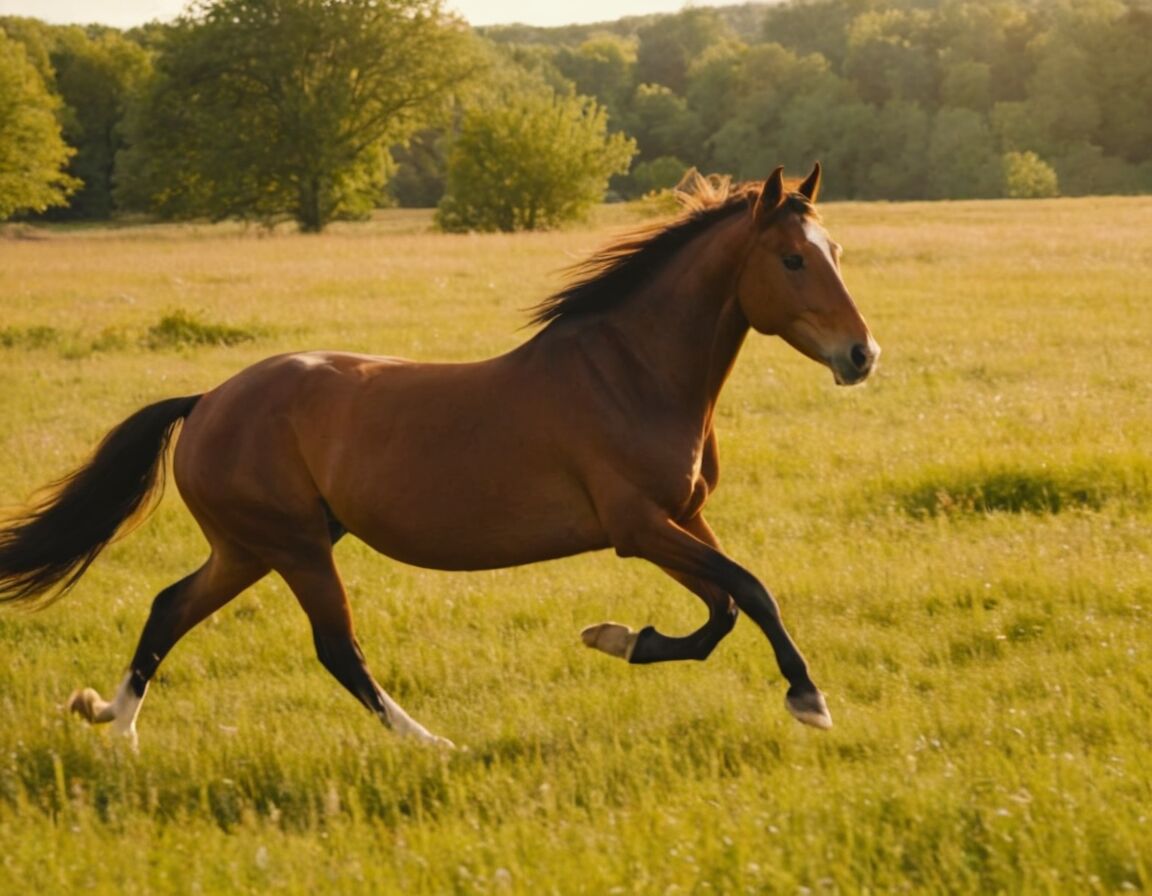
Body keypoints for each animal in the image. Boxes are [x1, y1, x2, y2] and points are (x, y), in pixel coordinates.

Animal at [0, 162, 875, 746]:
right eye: (793, 259)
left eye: (837, 250)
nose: (861, 355)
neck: (632, 372)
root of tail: (208, 400)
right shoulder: (637, 528)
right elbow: (750, 590)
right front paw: (808, 699)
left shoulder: (683, 519)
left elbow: (723, 608)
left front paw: (621, 638)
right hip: (294, 548)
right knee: (336, 650)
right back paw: (431, 744)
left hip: (250, 549)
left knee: (168, 607)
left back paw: (114, 725)